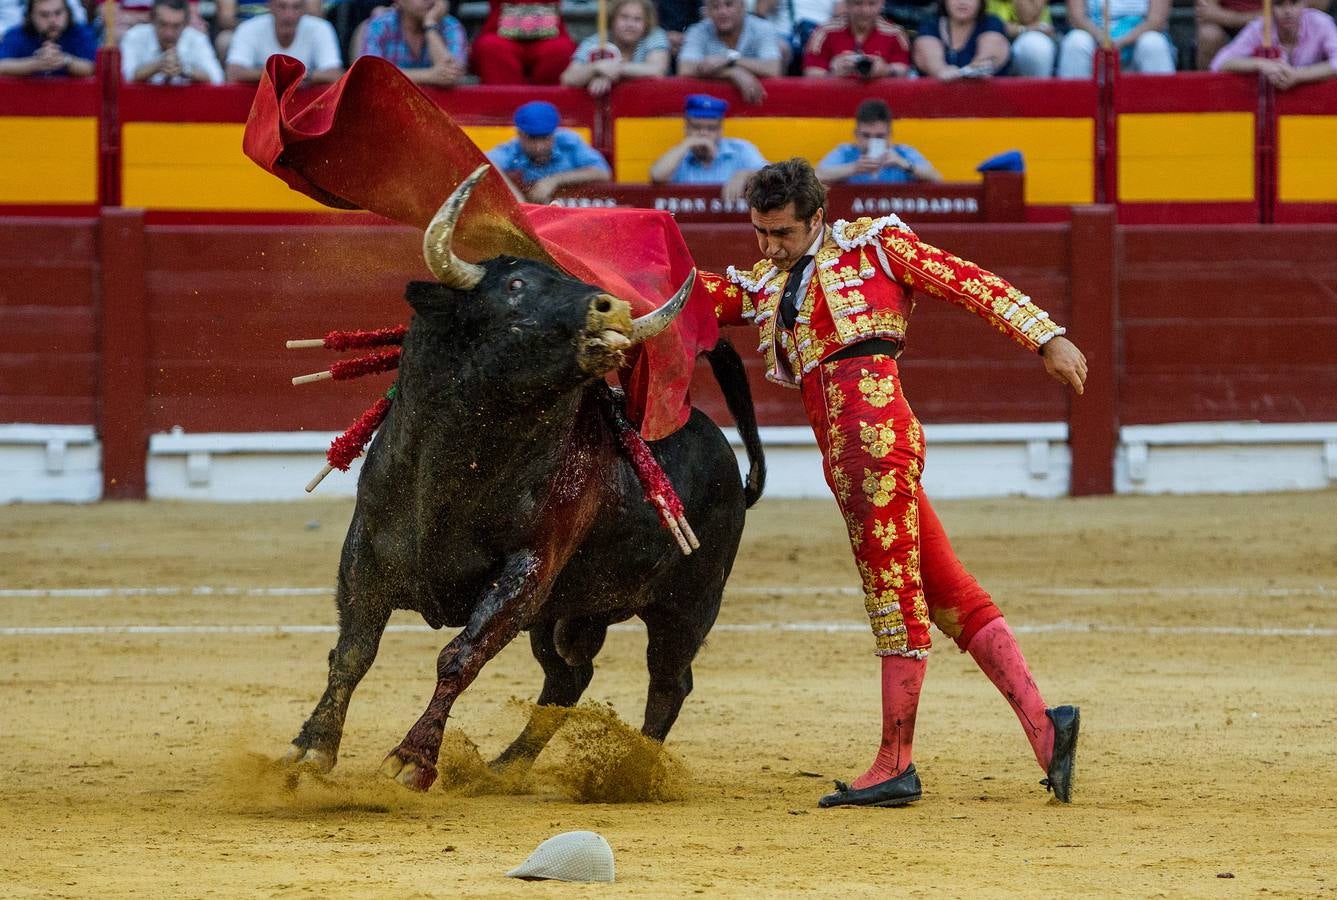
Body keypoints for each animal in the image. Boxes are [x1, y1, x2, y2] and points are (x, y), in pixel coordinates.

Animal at [284, 205, 764, 791]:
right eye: (515, 285)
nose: (613, 308)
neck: (457, 464)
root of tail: (715, 438)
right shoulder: (366, 554)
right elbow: (353, 652)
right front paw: (311, 749)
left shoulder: (529, 571)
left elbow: (459, 656)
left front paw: (412, 759)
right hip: (564, 617)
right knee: (569, 677)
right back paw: (505, 767)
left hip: (688, 605)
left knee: (669, 682)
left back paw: (633, 773)